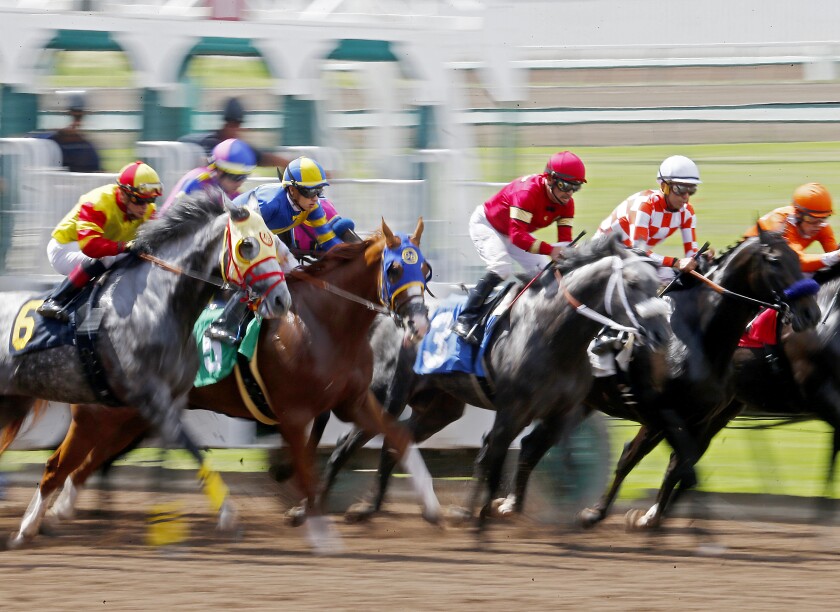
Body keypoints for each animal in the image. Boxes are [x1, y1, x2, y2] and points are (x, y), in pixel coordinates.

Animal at [2, 189, 292, 548]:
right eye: (247, 245)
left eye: (273, 242)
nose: (282, 300)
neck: (156, 302)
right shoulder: (152, 398)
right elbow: (191, 448)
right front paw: (225, 514)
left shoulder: (172, 400)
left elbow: (177, 452)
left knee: (58, 464)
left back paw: (35, 523)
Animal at [11, 219, 440, 548]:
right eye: (395, 270)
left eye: (426, 270)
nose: (420, 324)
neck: (325, 322)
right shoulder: (293, 415)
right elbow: (307, 468)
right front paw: (309, 520)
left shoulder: (354, 402)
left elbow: (399, 438)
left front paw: (434, 507)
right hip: (98, 414)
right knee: (61, 463)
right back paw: (39, 520)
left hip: (133, 416)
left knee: (86, 463)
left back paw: (61, 511)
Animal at [318, 237, 672, 528]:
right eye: (632, 282)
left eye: (656, 284)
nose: (661, 334)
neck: (553, 334)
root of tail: (387, 312)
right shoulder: (512, 410)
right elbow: (493, 454)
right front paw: (476, 513)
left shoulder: (562, 414)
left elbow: (527, 452)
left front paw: (494, 508)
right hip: (387, 396)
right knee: (345, 444)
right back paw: (319, 505)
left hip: (439, 408)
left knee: (396, 441)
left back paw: (372, 507)